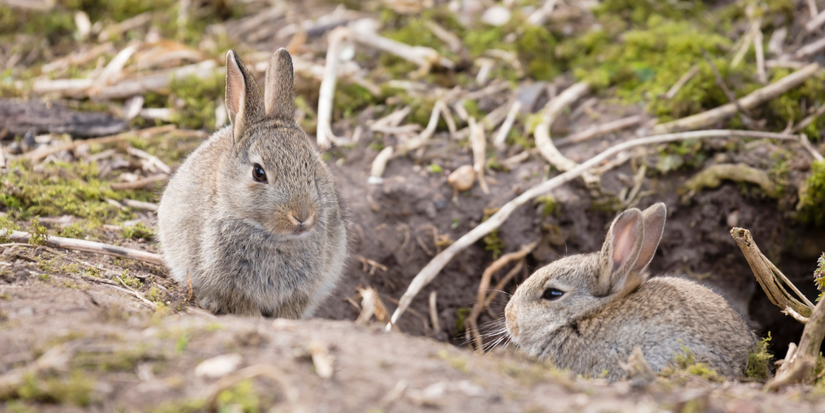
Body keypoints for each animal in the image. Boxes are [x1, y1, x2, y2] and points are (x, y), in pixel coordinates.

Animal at [156, 48, 347, 319]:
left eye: (312, 166)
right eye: (259, 173)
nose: (302, 216)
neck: (272, 236)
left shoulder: (300, 293)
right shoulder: (234, 290)